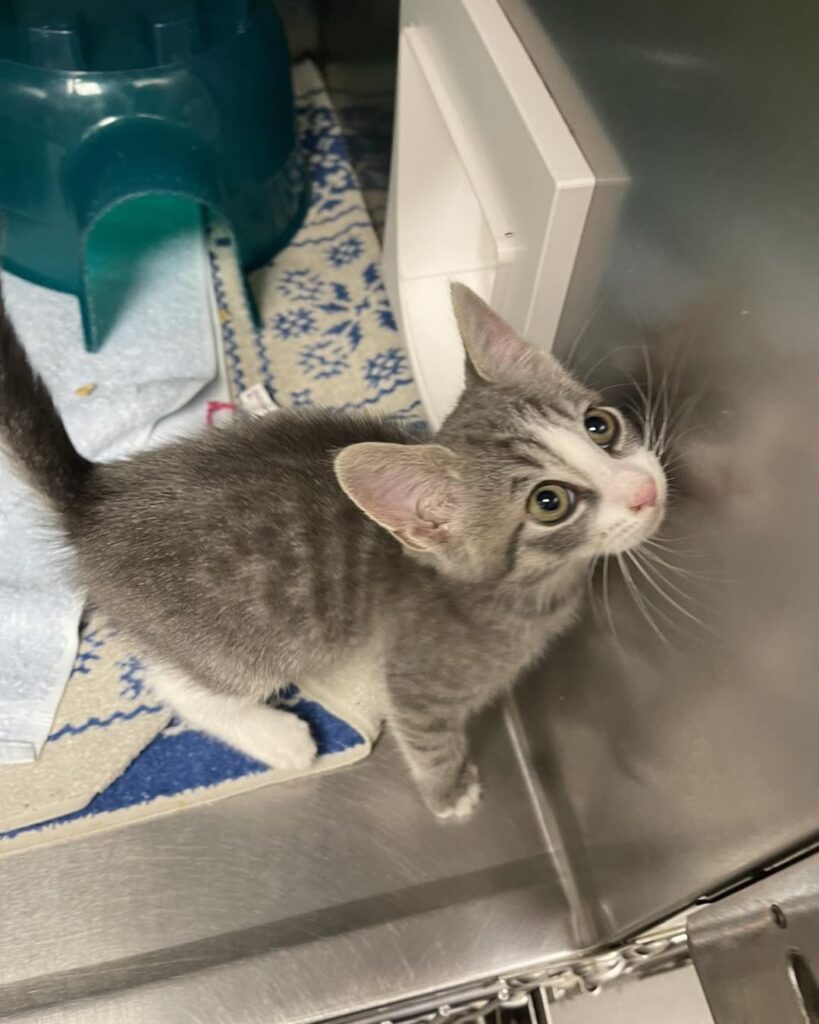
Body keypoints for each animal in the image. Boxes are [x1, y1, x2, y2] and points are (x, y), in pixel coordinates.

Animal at [0, 284, 663, 819]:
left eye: (600, 425)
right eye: (549, 502)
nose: (646, 491)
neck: (522, 590)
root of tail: (96, 498)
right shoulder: (417, 679)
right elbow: (427, 738)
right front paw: (451, 795)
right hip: (241, 643)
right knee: (179, 688)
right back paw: (277, 737)